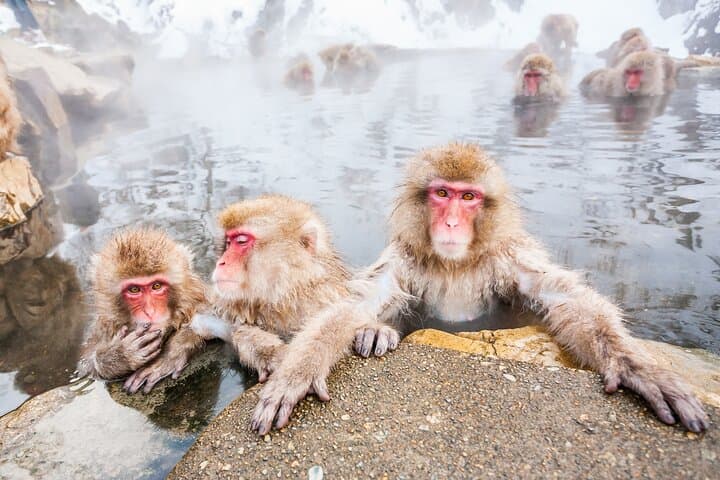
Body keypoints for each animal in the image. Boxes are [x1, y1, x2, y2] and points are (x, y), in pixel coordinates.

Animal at [77, 228, 208, 394]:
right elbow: (84, 369)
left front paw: (169, 355)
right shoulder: (101, 328)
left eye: (157, 286)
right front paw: (120, 356)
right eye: (134, 289)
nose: (150, 312)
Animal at [211, 195, 398, 384]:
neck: (287, 297)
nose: (221, 262)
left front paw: (371, 331)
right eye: (228, 243)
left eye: (241, 241)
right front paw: (270, 353)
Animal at [251, 142, 709, 435]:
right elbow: (353, 305)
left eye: (468, 197)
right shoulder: (404, 259)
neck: (455, 264)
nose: (452, 221)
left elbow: (563, 298)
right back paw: (375, 334)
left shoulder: (510, 256)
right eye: (442, 193)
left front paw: (640, 369)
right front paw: (297, 373)